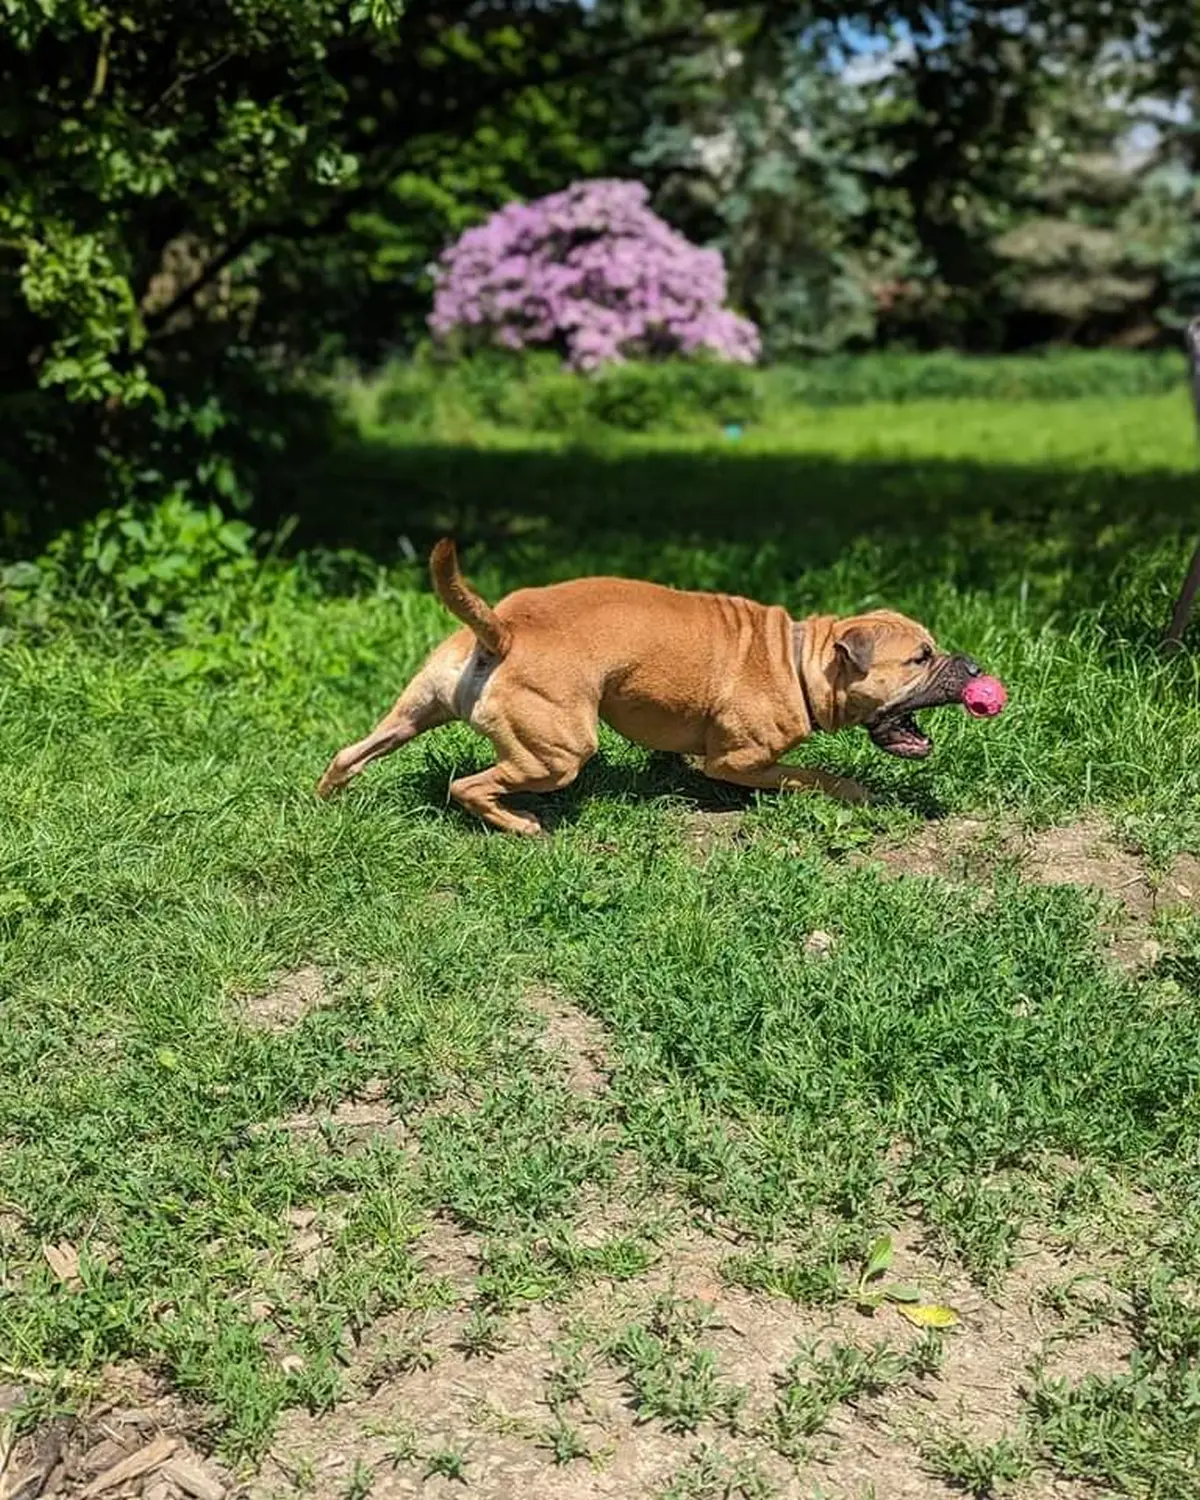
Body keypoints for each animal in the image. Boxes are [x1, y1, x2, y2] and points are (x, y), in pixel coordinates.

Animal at [318, 546, 984, 840]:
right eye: (921, 658)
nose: (976, 666)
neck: (802, 660)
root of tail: (505, 630)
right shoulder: (739, 762)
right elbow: (809, 775)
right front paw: (852, 790)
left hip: (414, 711)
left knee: (351, 753)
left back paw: (327, 800)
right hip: (559, 754)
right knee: (468, 787)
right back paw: (521, 825)